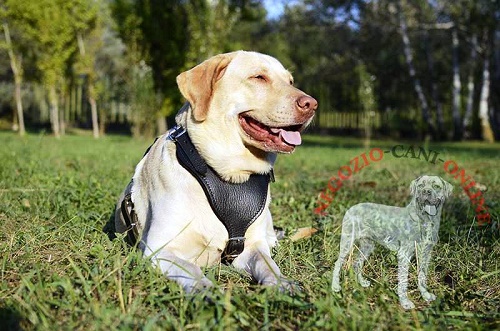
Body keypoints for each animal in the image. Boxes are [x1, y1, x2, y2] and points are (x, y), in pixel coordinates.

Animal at [114, 50, 316, 292]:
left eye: (290, 81)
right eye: (258, 77)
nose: (312, 104)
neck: (229, 173)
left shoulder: (252, 246)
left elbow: (267, 264)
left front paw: (282, 283)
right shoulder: (161, 249)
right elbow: (193, 270)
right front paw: (207, 291)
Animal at [332, 175, 454, 310]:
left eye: (436, 186)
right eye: (421, 185)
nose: (426, 192)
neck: (424, 220)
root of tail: (351, 208)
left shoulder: (426, 253)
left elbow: (422, 275)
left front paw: (425, 295)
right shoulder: (404, 254)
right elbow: (403, 280)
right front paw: (405, 302)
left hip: (367, 246)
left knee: (356, 263)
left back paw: (362, 283)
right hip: (347, 242)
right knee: (338, 263)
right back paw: (335, 287)